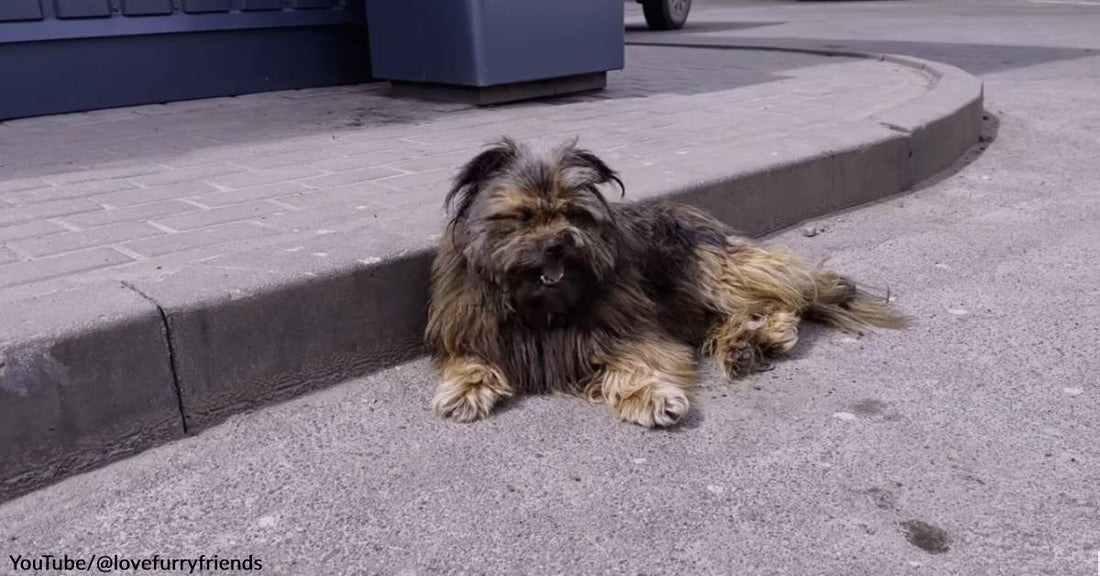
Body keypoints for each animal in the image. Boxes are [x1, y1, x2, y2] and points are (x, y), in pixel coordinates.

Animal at [422, 138, 902, 426]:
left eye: (572, 213)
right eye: (522, 217)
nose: (558, 245)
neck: (542, 307)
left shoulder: (631, 326)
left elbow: (642, 360)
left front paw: (650, 395)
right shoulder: (472, 329)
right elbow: (469, 359)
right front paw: (466, 387)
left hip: (716, 273)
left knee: (787, 296)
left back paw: (772, 331)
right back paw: (743, 345)